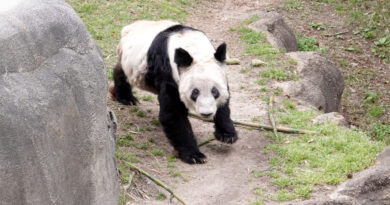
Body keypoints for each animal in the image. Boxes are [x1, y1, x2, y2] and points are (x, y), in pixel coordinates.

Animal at [111, 20, 236, 164]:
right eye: (195, 92)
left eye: (215, 92)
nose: (206, 113)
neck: (194, 48)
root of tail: (129, 27)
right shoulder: (168, 73)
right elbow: (173, 114)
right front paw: (194, 155)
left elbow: (224, 103)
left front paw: (227, 134)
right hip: (130, 61)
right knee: (122, 72)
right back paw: (126, 97)